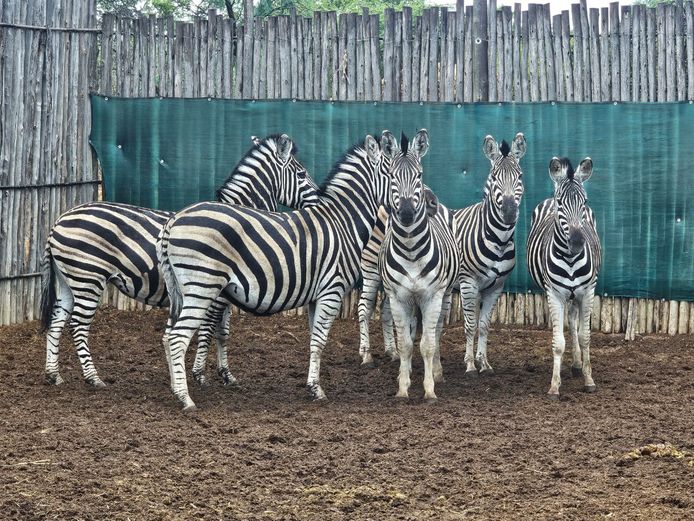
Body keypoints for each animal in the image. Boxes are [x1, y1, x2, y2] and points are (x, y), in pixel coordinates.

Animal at [40, 134, 319, 389]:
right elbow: (207, 330)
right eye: (302, 174)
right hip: (88, 278)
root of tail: (58, 222)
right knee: (78, 325)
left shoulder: (226, 294)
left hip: (69, 281)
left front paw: (226, 374)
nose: (320, 200)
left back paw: (54, 375)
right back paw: (93, 378)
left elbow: (223, 332)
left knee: (57, 322)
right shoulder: (213, 292)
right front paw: (199, 375)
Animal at [157, 131, 398, 410]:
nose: (318, 199)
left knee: (168, 335)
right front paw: (202, 376)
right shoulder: (330, 290)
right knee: (177, 336)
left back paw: (175, 386)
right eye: (301, 174)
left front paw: (223, 375)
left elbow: (225, 332)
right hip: (201, 288)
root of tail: (175, 219)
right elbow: (211, 330)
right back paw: (185, 397)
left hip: (181, 292)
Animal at [379, 131, 460, 400]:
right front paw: (403, 387)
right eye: (392, 175)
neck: (411, 249)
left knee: (436, 332)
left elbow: (428, 344)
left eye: (419, 174)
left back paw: (436, 372)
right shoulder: (398, 297)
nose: (405, 213)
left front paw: (429, 389)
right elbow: (404, 343)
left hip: (445, 295)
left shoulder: (432, 295)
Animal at [454, 133, 526, 377]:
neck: (499, 240)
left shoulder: (496, 286)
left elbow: (484, 325)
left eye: (520, 176)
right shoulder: (468, 283)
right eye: (494, 177)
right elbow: (470, 325)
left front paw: (484, 363)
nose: (509, 212)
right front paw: (469, 365)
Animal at [526, 156, 601, 399]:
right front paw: (554, 386)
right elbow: (558, 341)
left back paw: (577, 365)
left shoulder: (587, 291)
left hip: (576, 294)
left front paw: (589, 379)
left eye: (584, 201)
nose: (577, 242)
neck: (570, 258)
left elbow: (585, 336)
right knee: (566, 322)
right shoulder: (555, 293)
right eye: (561, 203)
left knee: (574, 320)